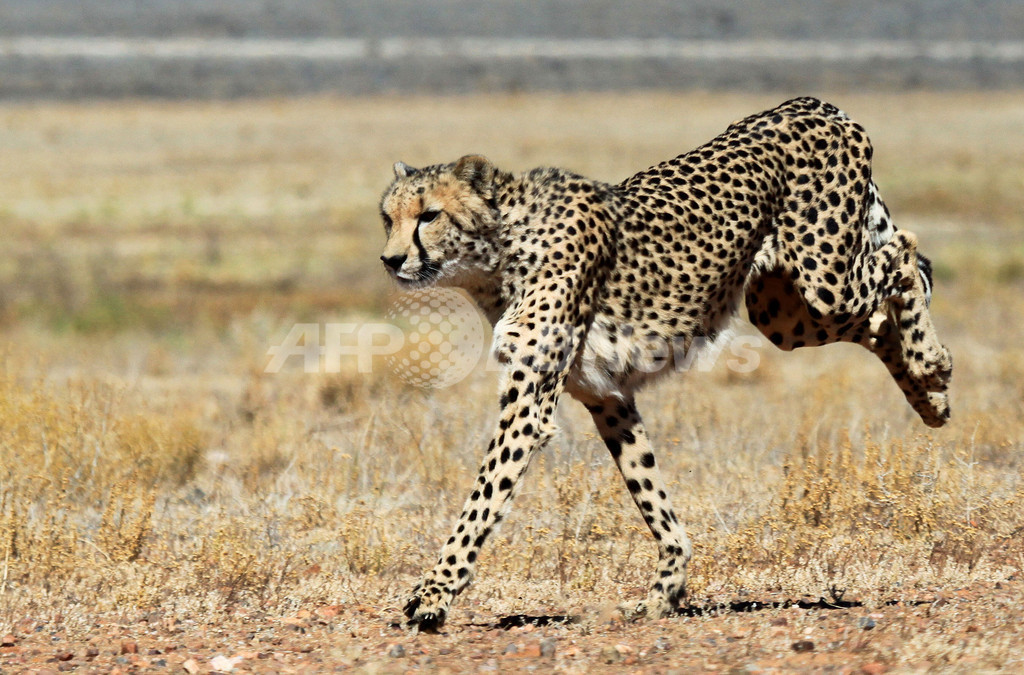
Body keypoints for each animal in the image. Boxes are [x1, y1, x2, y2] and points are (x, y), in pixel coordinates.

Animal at [376, 97, 950, 630]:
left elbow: (483, 498)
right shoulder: (607, 396)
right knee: (882, 314)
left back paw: (932, 362)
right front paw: (665, 592)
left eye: (429, 215)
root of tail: (811, 104)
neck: (498, 251)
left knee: (906, 253)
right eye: (388, 218)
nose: (390, 260)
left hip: (825, 281)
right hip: (785, 313)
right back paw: (930, 397)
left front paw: (434, 593)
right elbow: (650, 493)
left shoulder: (529, 405)